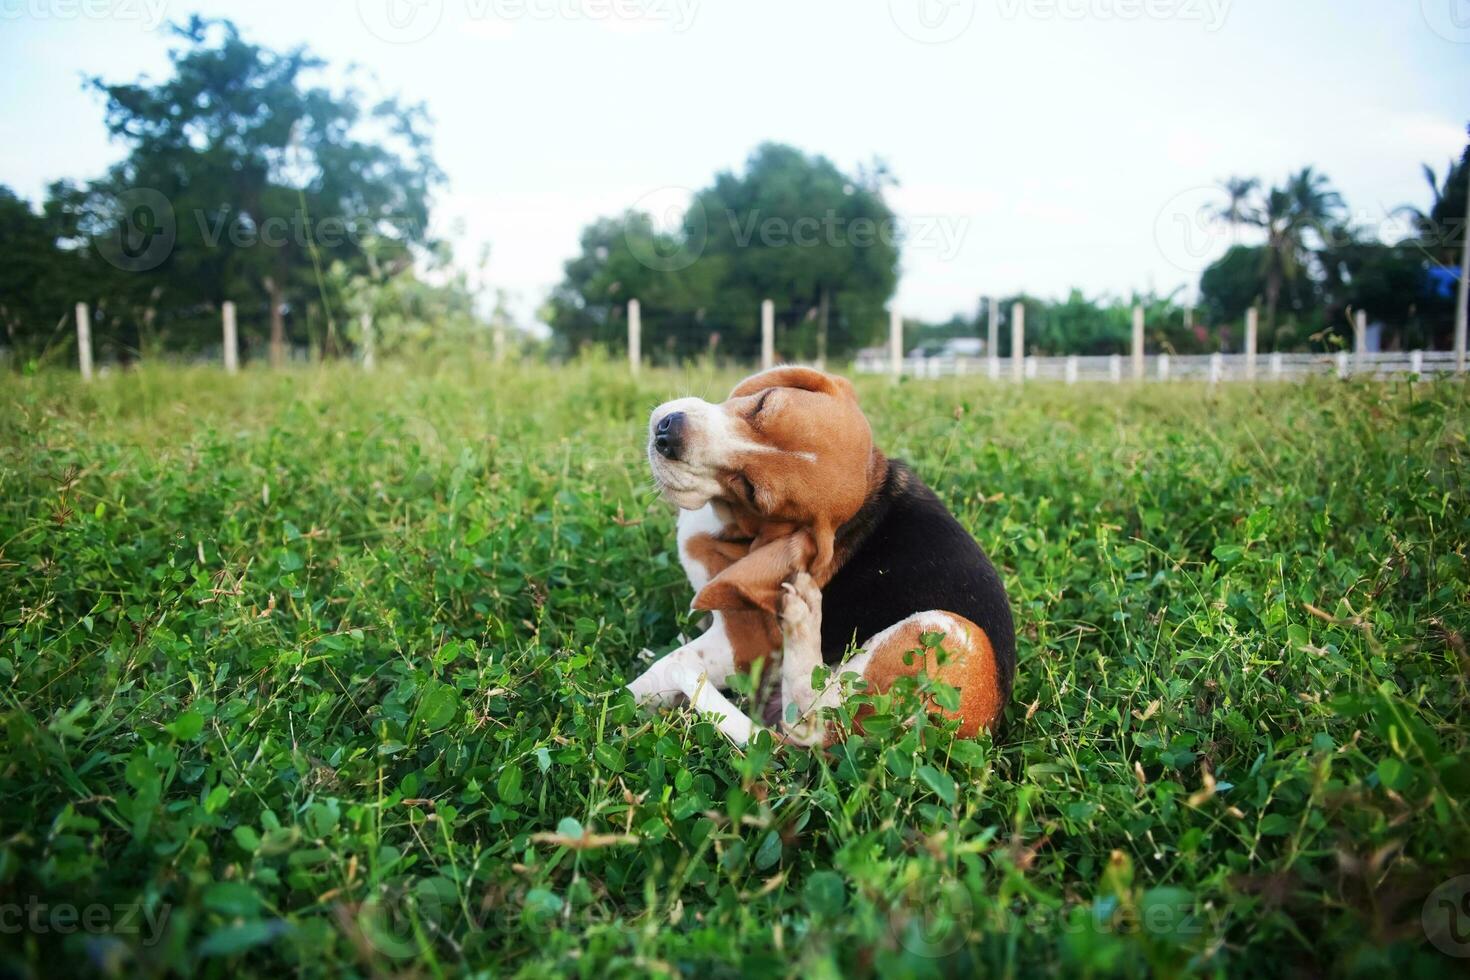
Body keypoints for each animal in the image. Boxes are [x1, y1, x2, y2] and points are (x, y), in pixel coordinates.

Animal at [626, 364, 1017, 746]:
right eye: (764, 403)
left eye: (751, 491)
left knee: (812, 722)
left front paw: (623, 699)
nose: (667, 434)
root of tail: (981, 727)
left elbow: (660, 671)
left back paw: (802, 618)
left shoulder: (744, 642)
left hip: (939, 632)